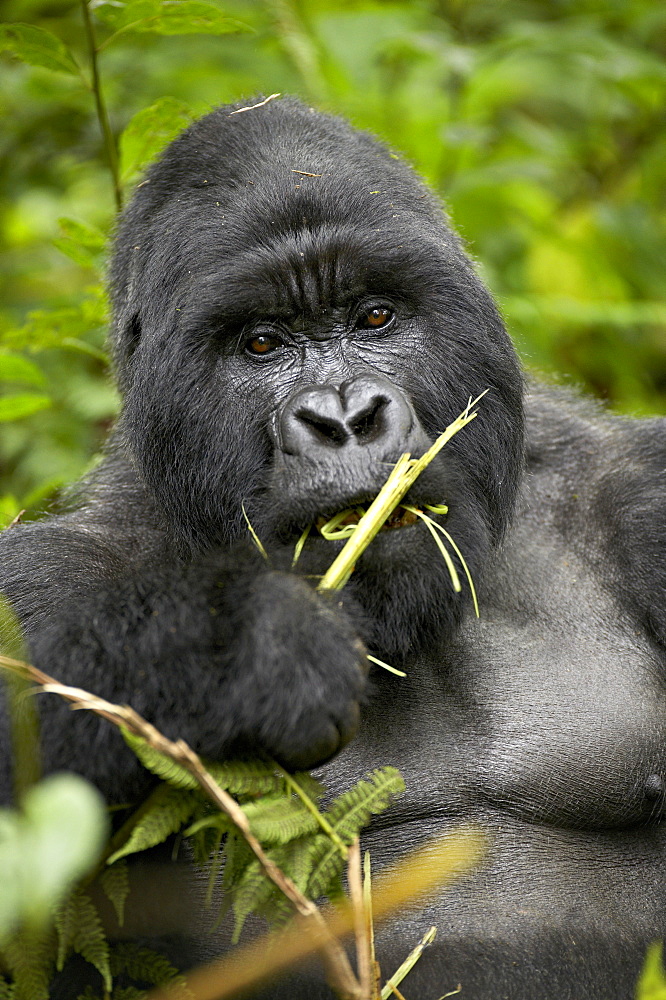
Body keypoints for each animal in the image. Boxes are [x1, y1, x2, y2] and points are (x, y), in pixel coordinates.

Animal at [1, 95, 664, 1000]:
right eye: (262, 343)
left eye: (374, 316)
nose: (344, 416)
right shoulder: (52, 570)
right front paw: (249, 645)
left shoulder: (637, 494)